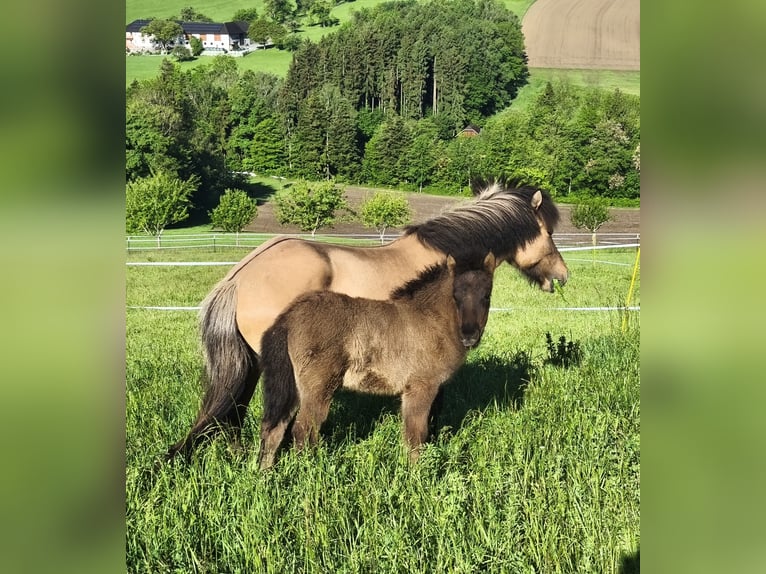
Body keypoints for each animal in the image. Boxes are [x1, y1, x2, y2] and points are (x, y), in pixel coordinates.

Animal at [257, 253, 496, 469]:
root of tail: (289, 316)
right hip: (318, 387)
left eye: (487, 296)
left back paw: (266, 473)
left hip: (294, 387)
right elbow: (416, 433)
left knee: (275, 428)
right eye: (455, 296)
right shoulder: (421, 386)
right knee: (304, 429)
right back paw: (308, 470)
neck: (433, 319)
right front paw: (415, 475)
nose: (469, 337)